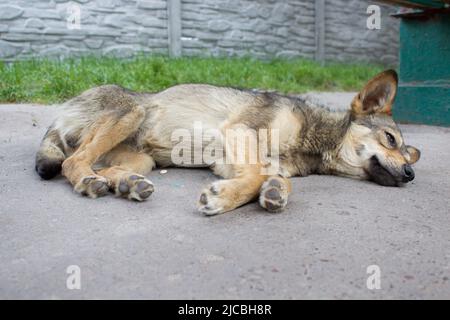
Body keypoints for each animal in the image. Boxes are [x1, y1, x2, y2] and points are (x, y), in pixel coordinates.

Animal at [36, 69, 422, 215]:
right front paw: (222, 199)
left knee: (101, 166)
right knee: (72, 162)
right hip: (132, 112)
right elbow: (253, 176)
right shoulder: (240, 131)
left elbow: (270, 179)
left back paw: (128, 184)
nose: (410, 175)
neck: (311, 140)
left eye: (409, 156)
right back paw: (89, 182)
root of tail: (64, 109)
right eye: (389, 138)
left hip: (141, 159)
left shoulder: (233, 161)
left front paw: (275, 191)